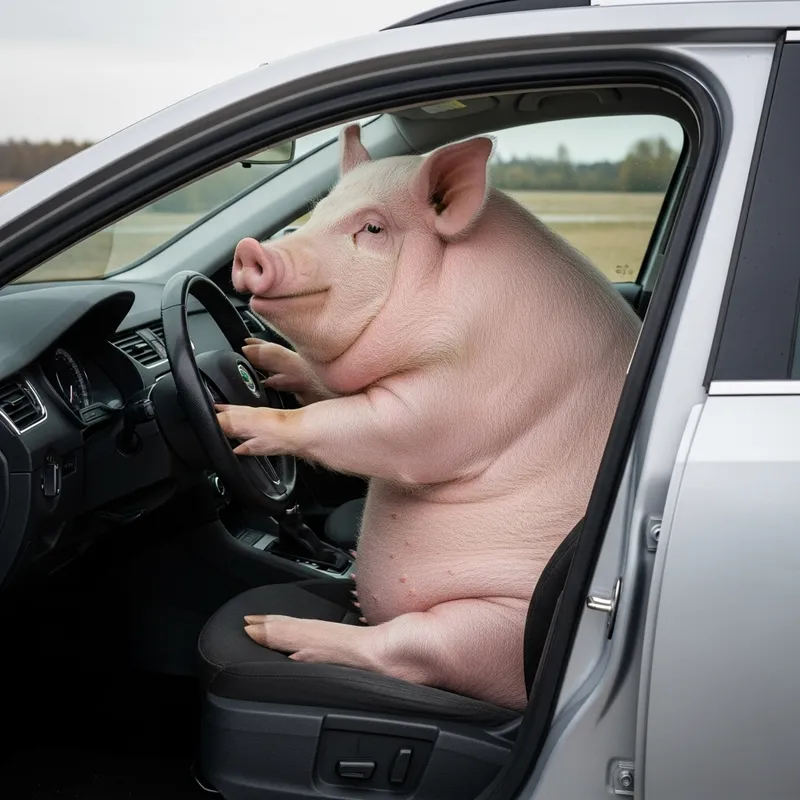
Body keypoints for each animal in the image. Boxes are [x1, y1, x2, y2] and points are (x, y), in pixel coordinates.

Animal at [216, 124, 641, 711]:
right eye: (319, 210)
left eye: (373, 228)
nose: (250, 248)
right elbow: (319, 386)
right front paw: (257, 354)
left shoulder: (458, 399)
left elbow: (350, 426)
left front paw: (227, 417)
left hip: (481, 629)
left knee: (397, 652)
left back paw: (264, 628)